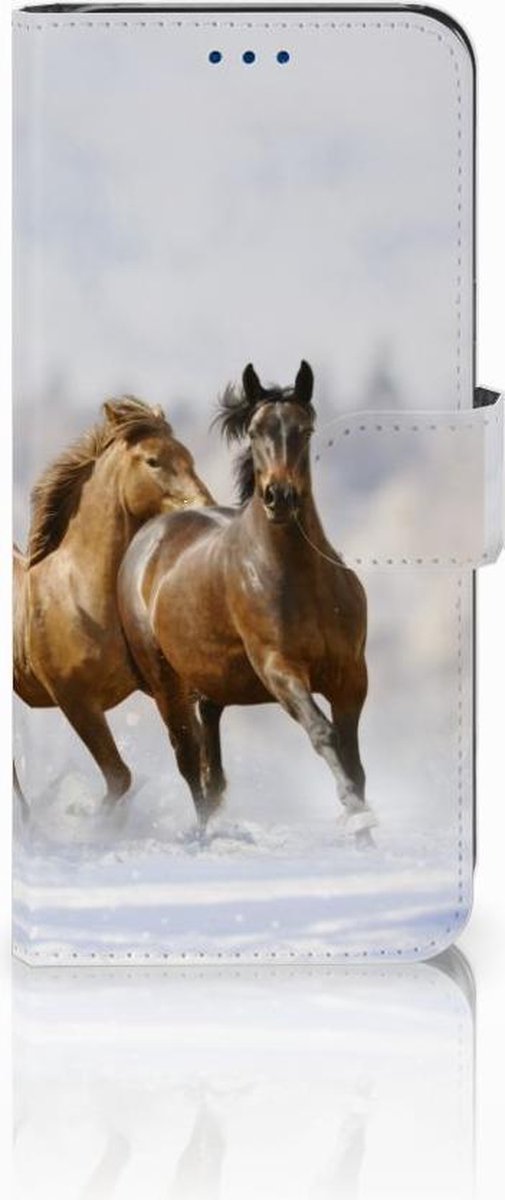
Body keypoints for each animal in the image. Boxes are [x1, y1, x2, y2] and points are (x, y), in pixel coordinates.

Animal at [13, 396, 213, 805]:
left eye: (188, 456)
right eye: (153, 461)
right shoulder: (76, 701)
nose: (204, 506)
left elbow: (193, 757)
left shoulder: (167, 688)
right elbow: (119, 777)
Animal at [118, 363, 376, 840]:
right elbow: (323, 733)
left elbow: (353, 758)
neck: (301, 581)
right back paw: (204, 834)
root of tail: (149, 537)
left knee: (210, 762)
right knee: (188, 759)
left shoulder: (351, 676)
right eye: (255, 432)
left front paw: (364, 830)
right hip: (165, 682)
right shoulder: (279, 669)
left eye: (305, 429)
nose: (279, 496)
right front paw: (354, 812)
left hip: (211, 684)